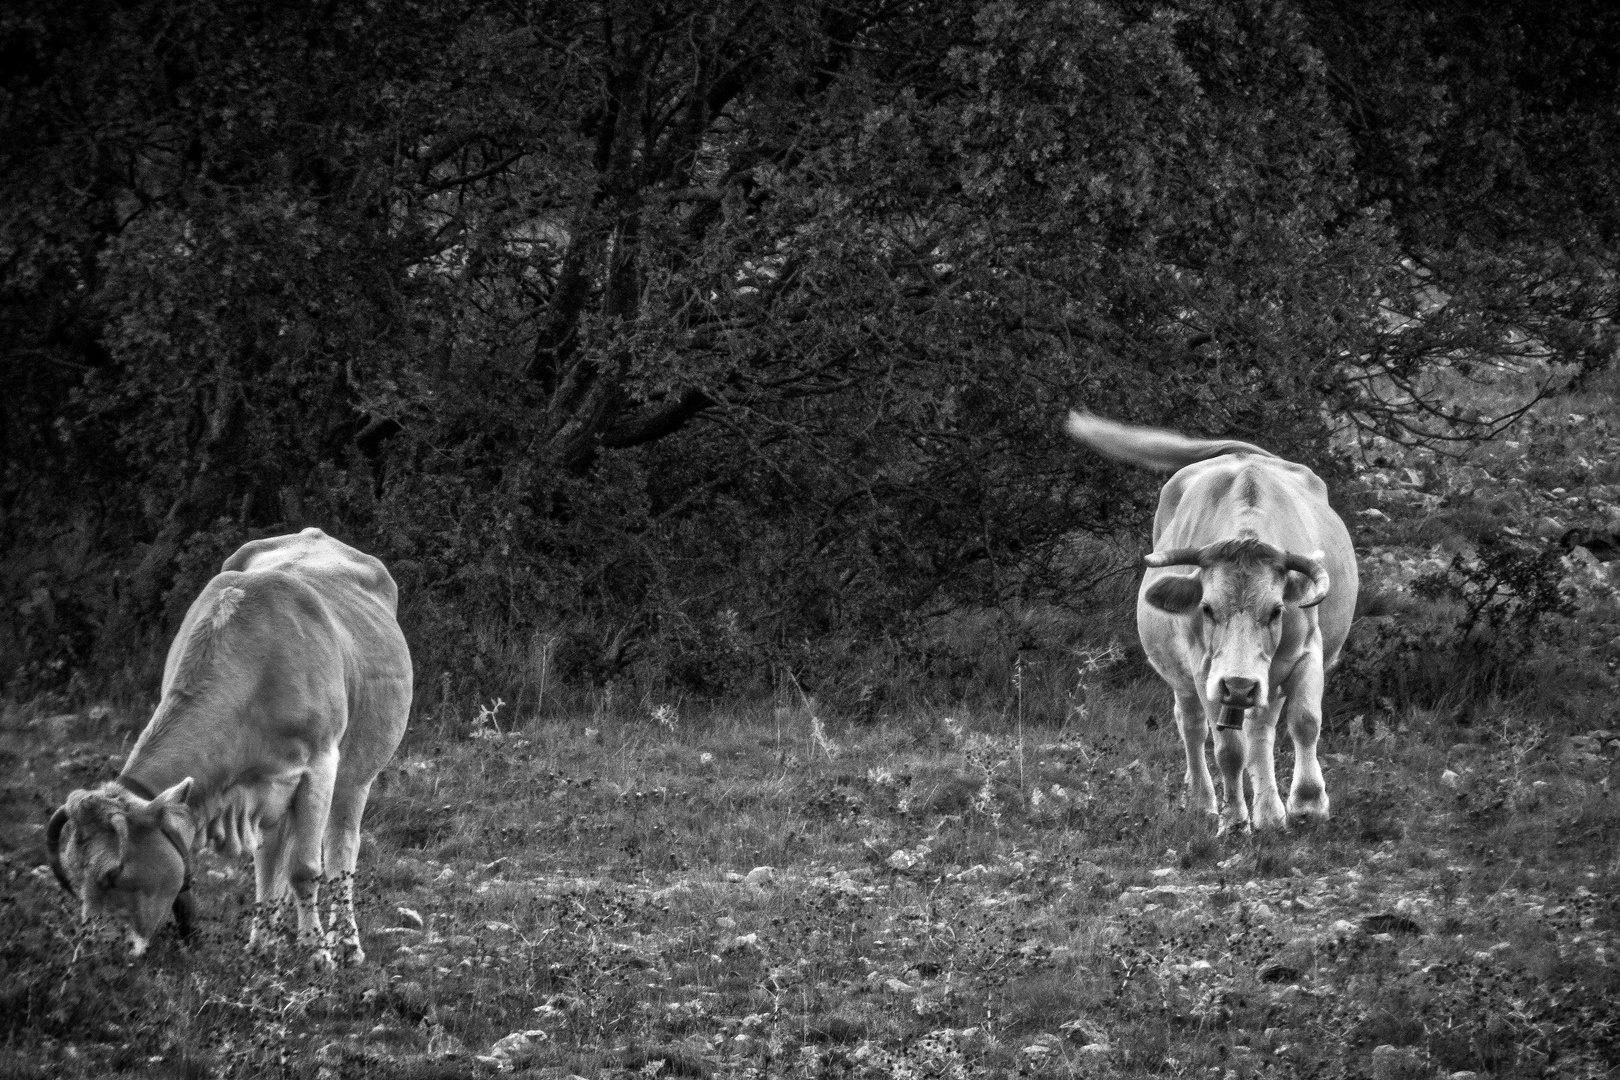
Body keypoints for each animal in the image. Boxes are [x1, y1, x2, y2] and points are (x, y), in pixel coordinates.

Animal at [46, 531, 411, 965]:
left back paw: (348, 945)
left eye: (112, 873)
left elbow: (305, 868)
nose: (93, 952)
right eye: (74, 872)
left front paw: (316, 952)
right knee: (271, 856)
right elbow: (271, 865)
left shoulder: (321, 764)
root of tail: (315, 535)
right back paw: (264, 939)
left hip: (357, 773)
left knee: (342, 851)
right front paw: (269, 943)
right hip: (276, 795)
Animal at [1062, 409, 1354, 835]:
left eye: (1276, 610)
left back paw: (1270, 812)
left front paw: (1307, 805)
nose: (1239, 685)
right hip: (1185, 678)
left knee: (1261, 728)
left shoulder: (1306, 654)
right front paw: (1233, 819)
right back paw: (1204, 802)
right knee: (1192, 725)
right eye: (1206, 608)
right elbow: (1227, 748)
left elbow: (1305, 722)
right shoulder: (1205, 672)